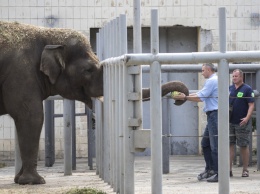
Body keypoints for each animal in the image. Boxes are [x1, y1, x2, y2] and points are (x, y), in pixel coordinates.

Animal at [0, 21, 188, 185]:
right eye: (88, 70)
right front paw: (35, 181)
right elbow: (32, 117)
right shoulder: (21, 74)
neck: (46, 33)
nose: (179, 99)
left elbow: (26, 120)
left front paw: (19, 180)